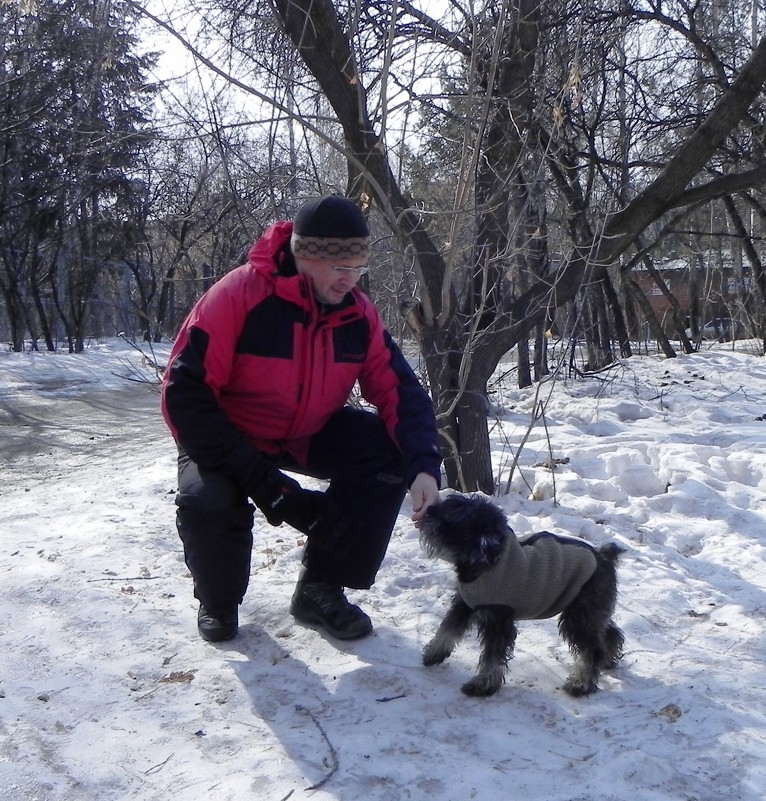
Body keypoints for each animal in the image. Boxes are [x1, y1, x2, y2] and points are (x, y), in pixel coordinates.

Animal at [424, 494, 628, 692]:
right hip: (590, 613)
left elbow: (492, 656)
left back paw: (581, 683)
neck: (487, 562)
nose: (428, 510)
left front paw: (483, 684)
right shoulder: (464, 605)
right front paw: (433, 654)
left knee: (592, 650)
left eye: (450, 515)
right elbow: (447, 629)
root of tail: (604, 557)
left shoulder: (498, 620)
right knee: (608, 633)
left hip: (579, 616)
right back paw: (607, 661)